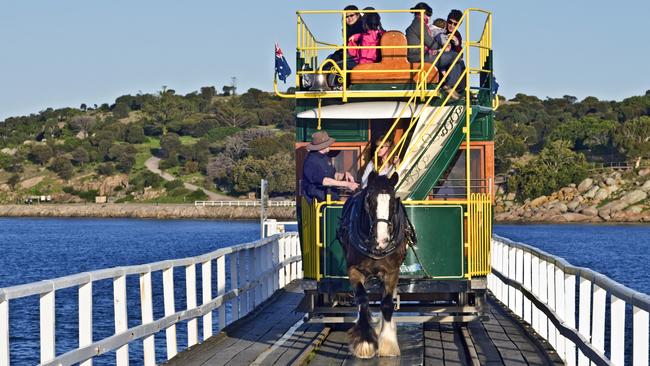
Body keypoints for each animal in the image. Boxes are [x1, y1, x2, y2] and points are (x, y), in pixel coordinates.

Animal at [334, 172, 416, 358]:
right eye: (369, 200)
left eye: (393, 202)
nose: (382, 240)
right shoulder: (354, 270)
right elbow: (362, 298)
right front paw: (365, 341)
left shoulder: (392, 272)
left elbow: (386, 303)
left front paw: (388, 343)